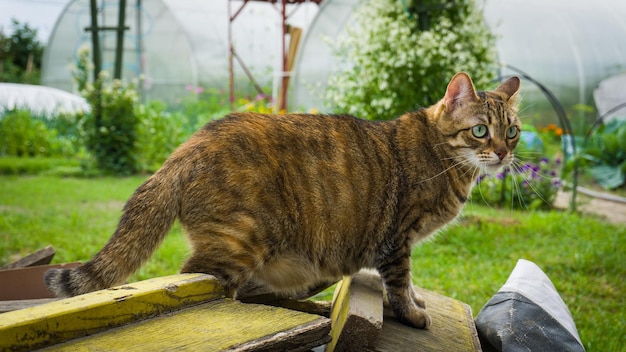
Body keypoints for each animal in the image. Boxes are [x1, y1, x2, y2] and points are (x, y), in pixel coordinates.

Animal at [44, 72, 520, 330]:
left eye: (512, 131)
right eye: (480, 130)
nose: (502, 153)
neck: (447, 160)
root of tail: (187, 146)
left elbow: (406, 284)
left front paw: (418, 303)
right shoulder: (397, 239)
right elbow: (400, 283)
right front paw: (413, 313)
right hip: (237, 244)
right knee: (194, 285)